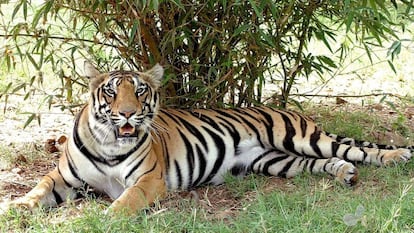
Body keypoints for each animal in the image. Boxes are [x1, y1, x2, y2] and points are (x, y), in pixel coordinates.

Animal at [1, 62, 412, 215]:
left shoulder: (148, 180)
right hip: (277, 161)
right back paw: (344, 174)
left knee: (356, 149)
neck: (109, 142)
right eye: (112, 92)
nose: (129, 113)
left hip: (299, 138)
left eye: (139, 91)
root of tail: (293, 111)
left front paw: (109, 216)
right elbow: (38, 189)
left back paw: (396, 158)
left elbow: (127, 199)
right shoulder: (63, 178)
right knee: (323, 162)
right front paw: (16, 207)